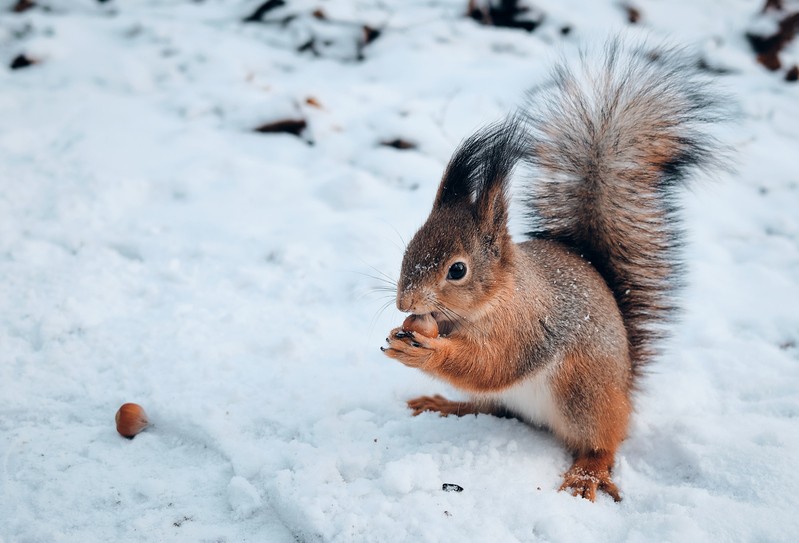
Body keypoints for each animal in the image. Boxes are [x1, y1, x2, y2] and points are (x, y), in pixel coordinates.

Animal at [384, 40, 728, 504]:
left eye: (457, 270)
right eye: (410, 247)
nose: (405, 301)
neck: (498, 297)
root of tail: (624, 391)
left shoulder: (527, 328)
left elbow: (492, 365)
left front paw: (426, 351)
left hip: (583, 392)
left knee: (602, 441)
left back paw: (587, 473)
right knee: (489, 405)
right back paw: (445, 405)